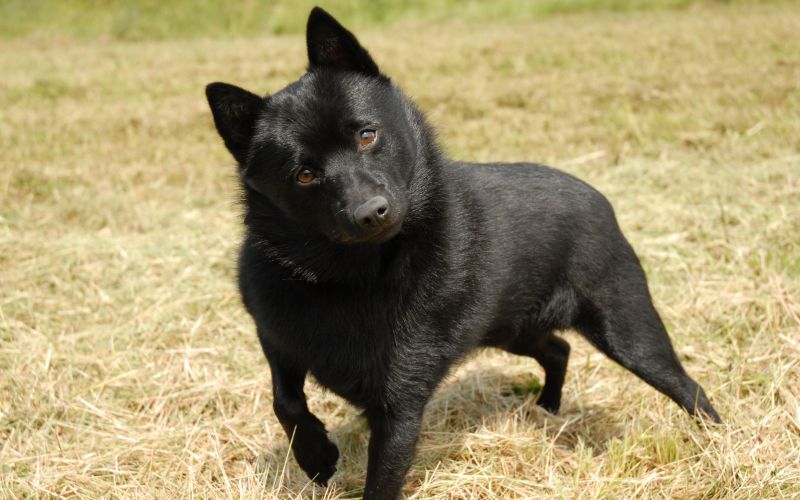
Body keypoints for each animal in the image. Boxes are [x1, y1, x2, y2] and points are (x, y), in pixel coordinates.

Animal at [205, 6, 720, 496]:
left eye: (367, 135)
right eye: (305, 174)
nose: (371, 212)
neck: (348, 277)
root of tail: (597, 195)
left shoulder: (400, 404)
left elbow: (381, 480)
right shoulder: (276, 336)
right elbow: (285, 400)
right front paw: (316, 457)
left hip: (627, 330)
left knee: (687, 386)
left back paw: (717, 442)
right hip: (513, 328)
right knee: (558, 348)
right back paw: (547, 409)